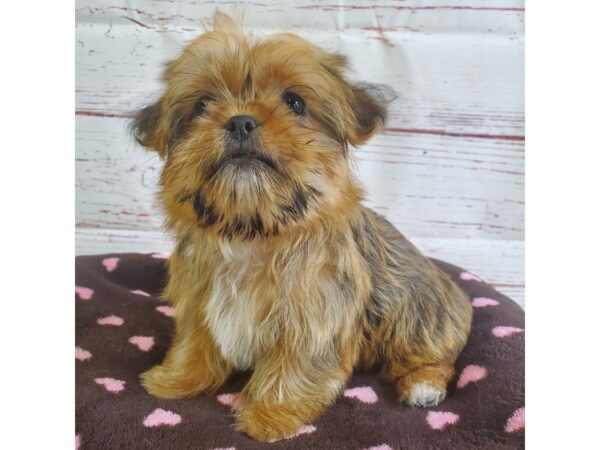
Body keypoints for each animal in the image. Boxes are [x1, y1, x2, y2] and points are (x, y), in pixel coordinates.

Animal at [131, 12, 474, 442]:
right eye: (203, 104)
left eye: (294, 102)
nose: (240, 121)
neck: (254, 230)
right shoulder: (199, 301)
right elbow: (195, 342)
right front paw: (175, 379)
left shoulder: (314, 316)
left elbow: (294, 367)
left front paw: (272, 416)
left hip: (415, 315)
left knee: (431, 356)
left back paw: (422, 385)